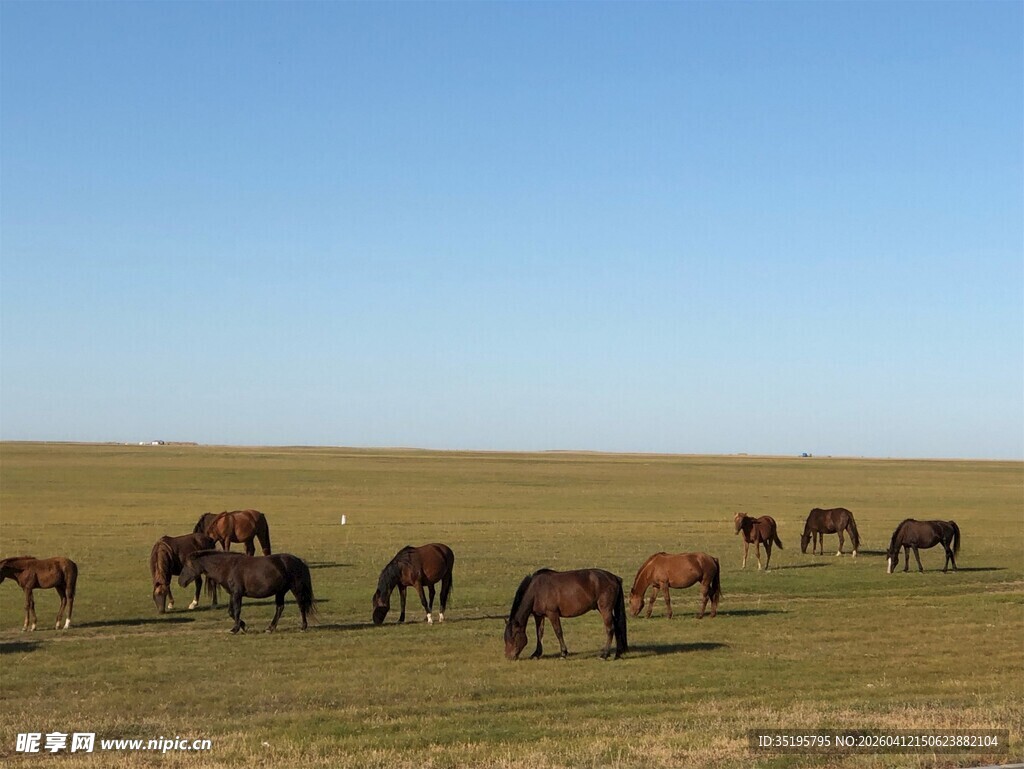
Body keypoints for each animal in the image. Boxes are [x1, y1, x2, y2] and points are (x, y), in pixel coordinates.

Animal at [179, 551, 316, 633]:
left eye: (187, 566)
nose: (180, 581)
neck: (228, 567)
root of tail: (299, 561)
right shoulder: (233, 593)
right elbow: (231, 612)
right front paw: (243, 626)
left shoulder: (237, 594)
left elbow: (237, 611)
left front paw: (235, 628)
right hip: (280, 591)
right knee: (280, 608)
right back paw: (270, 628)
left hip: (296, 589)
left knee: (301, 606)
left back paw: (303, 626)